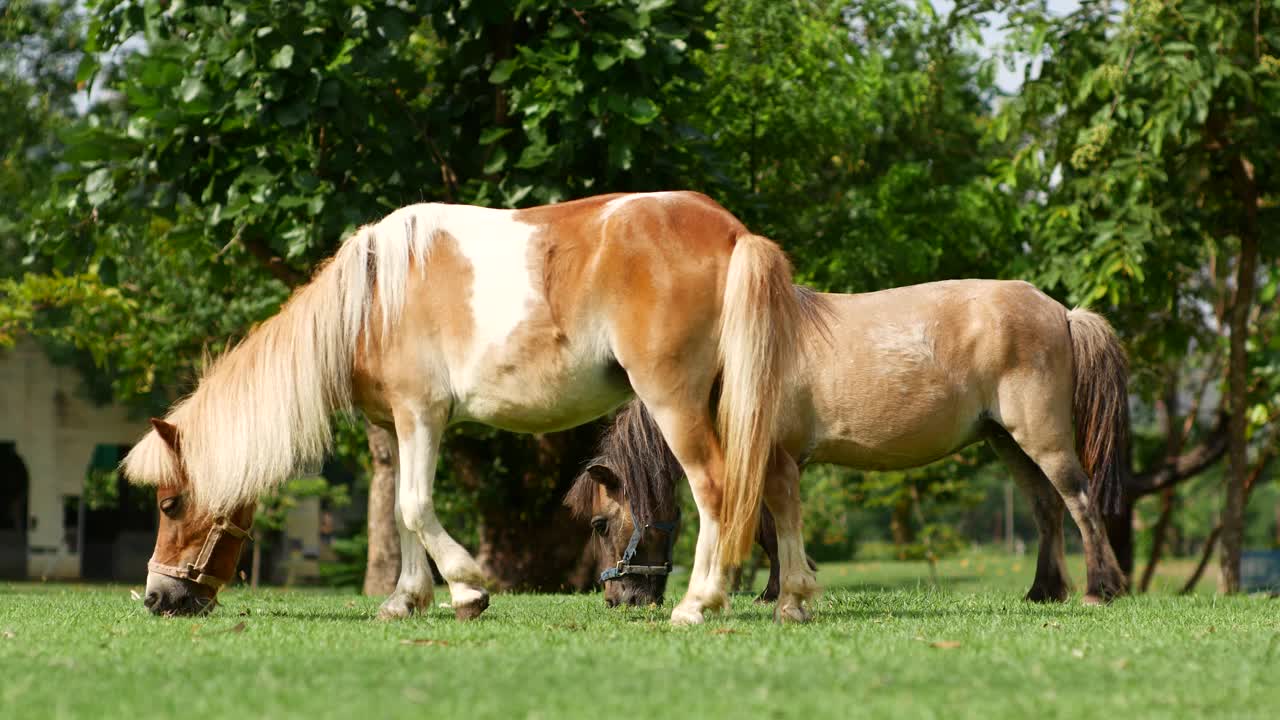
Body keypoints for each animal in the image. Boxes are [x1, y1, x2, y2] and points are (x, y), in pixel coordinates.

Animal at [120, 192, 824, 622]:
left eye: (170, 504)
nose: (157, 597)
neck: (370, 302)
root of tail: (733, 233)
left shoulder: (422, 415)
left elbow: (414, 506)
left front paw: (466, 587)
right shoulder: (399, 427)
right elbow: (401, 514)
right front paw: (405, 600)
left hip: (675, 401)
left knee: (717, 490)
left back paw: (699, 602)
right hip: (736, 400)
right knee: (778, 487)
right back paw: (791, 599)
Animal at [570, 278, 1131, 620]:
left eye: (599, 524)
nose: (616, 598)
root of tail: (1061, 312)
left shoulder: (772, 459)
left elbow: (773, 529)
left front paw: (780, 593)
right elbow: (772, 528)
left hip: (1042, 438)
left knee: (1080, 502)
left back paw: (1100, 590)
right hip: (1008, 441)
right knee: (1045, 509)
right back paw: (1044, 591)